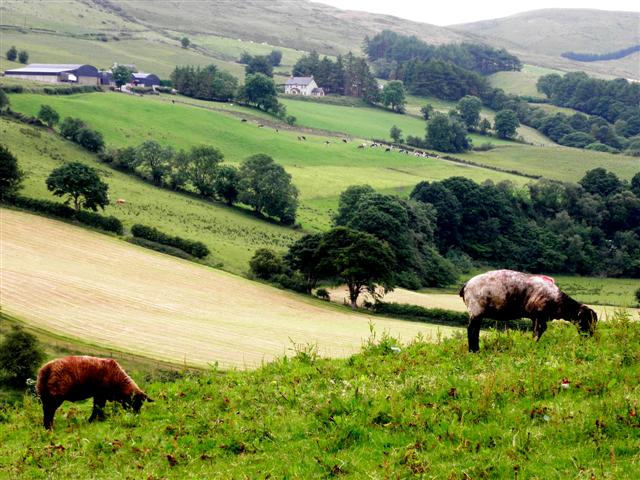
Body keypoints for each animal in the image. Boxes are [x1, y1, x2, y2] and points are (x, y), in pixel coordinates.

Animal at [458, 270, 596, 352]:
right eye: (586, 320)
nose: (590, 336)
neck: (559, 301)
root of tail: (466, 285)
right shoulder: (539, 316)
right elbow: (537, 333)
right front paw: (532, 347)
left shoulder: (535, 318)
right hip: (476, 309)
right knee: (472, 330)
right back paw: (474, 351)